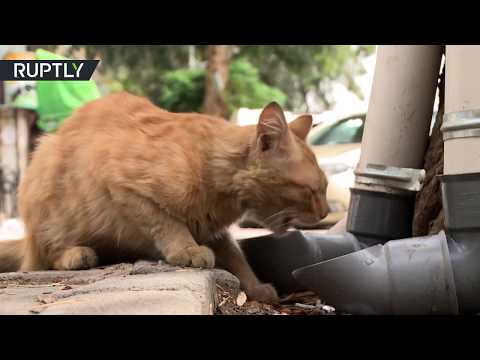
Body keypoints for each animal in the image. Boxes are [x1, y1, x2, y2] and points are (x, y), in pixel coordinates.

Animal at [0, 93, 328, 304]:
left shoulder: (215, 231)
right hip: (48, 191)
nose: (325, 213)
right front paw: (186, 249)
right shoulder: (121, 183)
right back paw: (76, 254)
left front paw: (256, 288)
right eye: (312, 191)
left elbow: (237, 258)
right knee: (45, 254)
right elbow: (166, 222)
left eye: (324, 188)